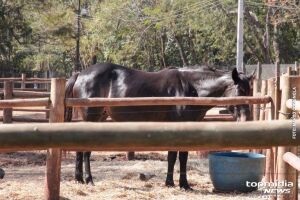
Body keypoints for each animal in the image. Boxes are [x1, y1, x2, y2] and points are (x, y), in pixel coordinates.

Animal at [64, 63, 254, 190]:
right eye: (241, 91)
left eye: (251, 91)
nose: (246, 118)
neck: (190, 89)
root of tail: (80, 74)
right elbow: (175, 156)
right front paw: (175, 183)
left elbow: (179, 157)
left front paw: (179, 183)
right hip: (92, 117)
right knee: (85, 151)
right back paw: (89, 179)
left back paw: (79, 179)